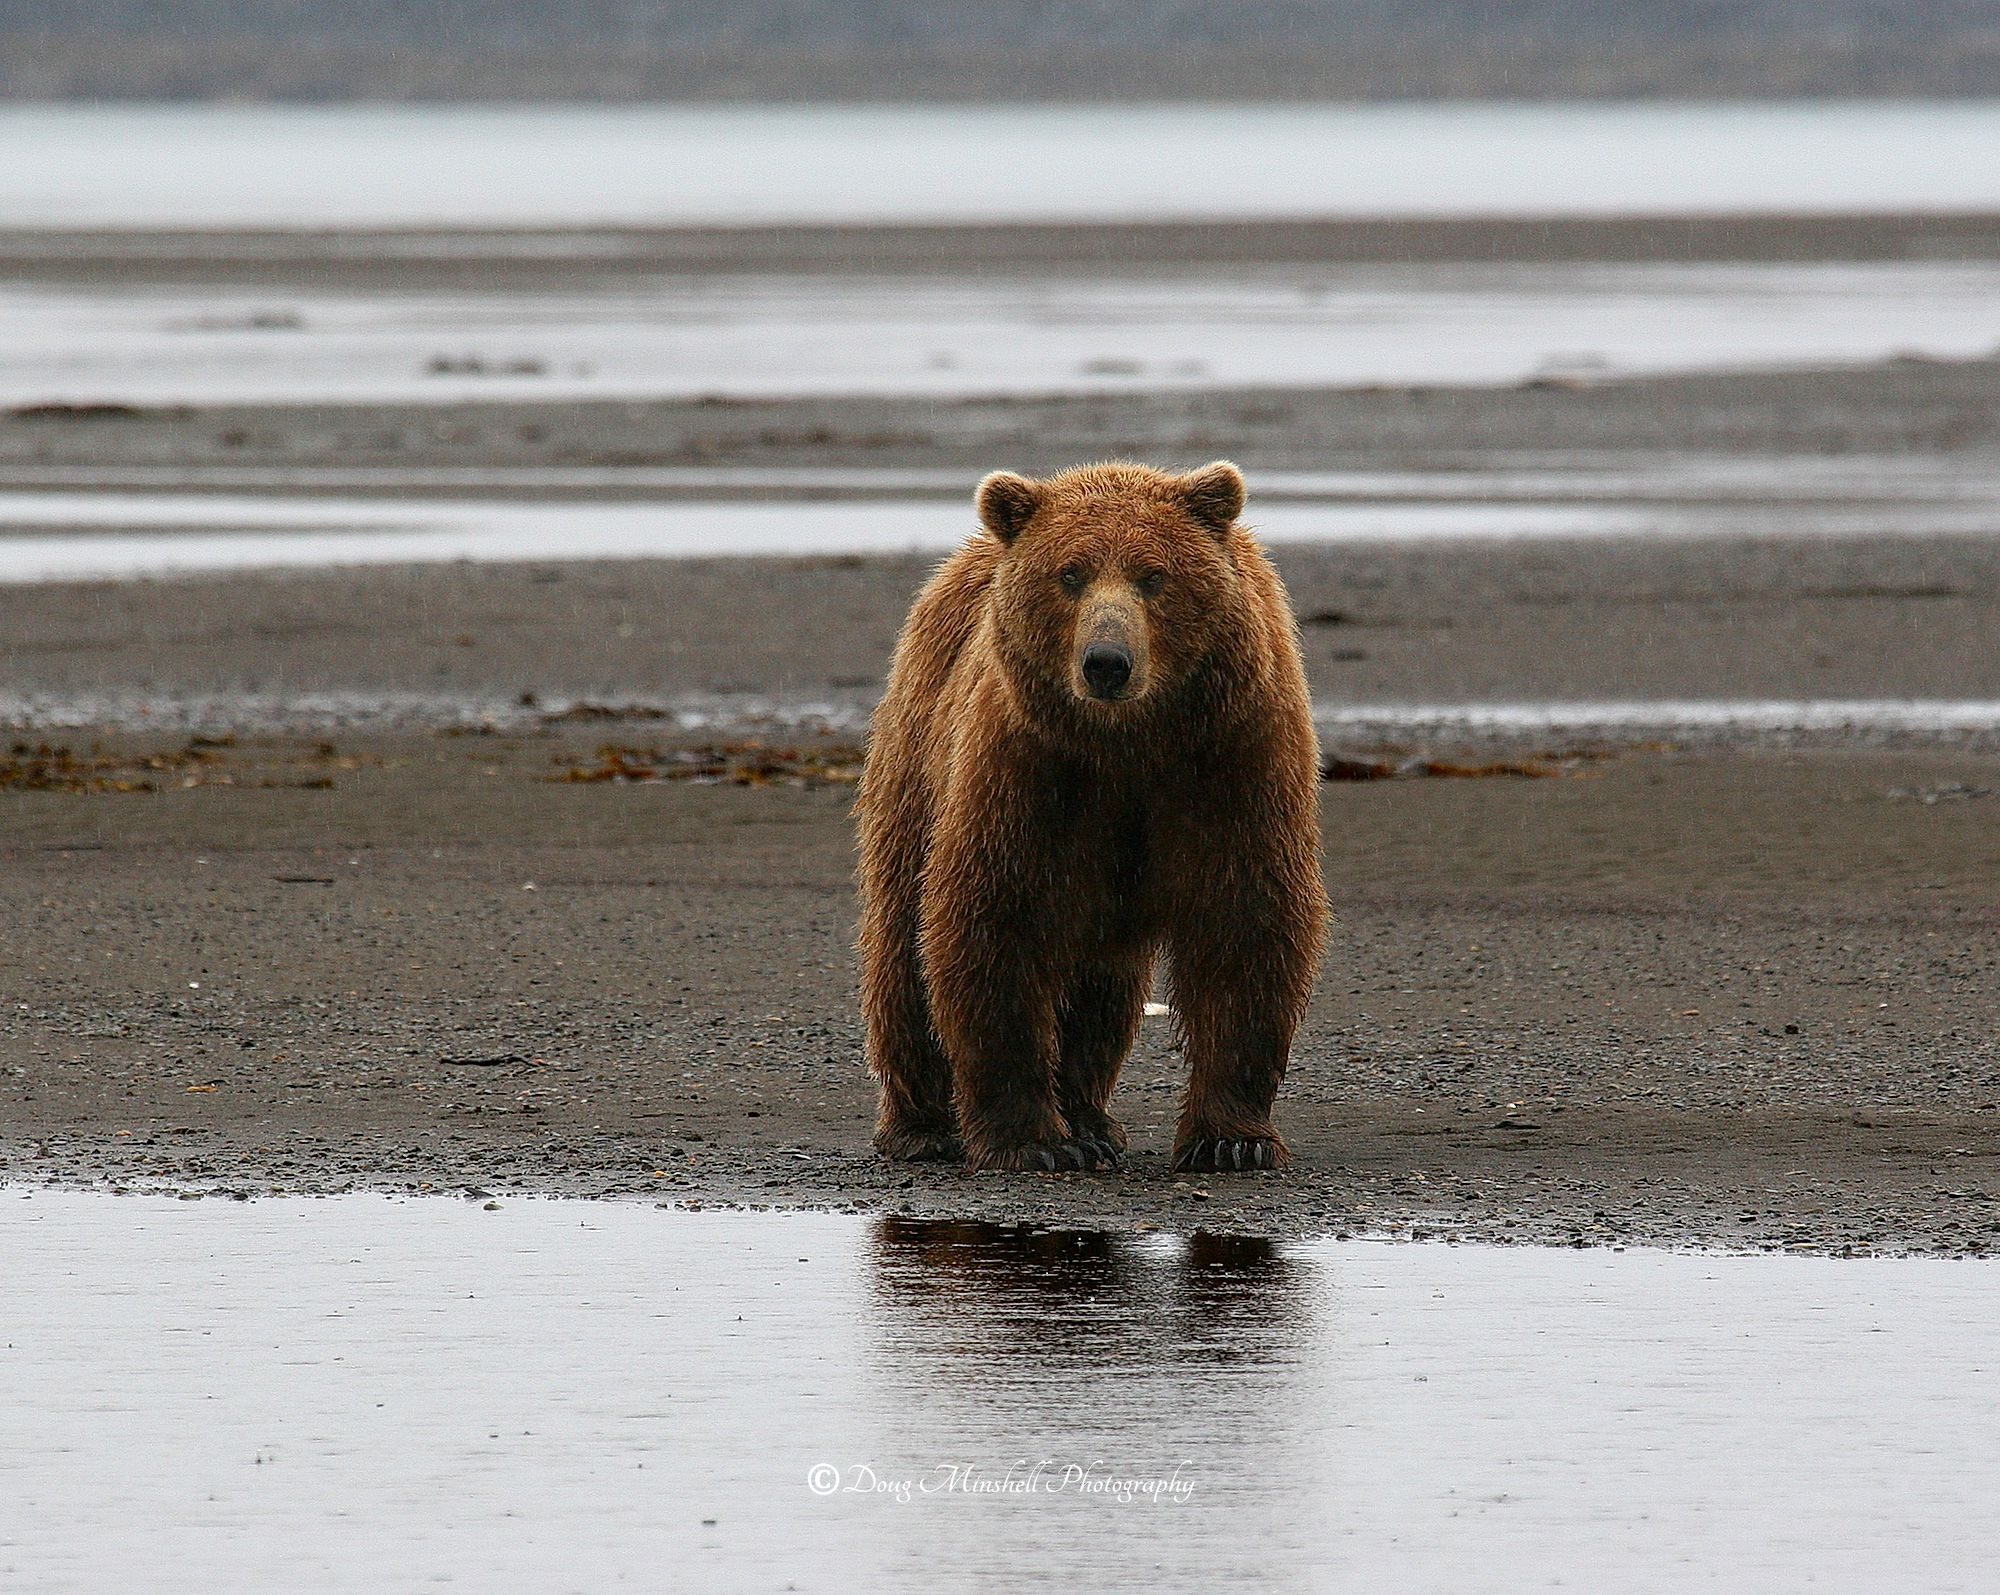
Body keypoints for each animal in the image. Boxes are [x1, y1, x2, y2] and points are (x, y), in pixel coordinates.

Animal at [855, 460, 1327, 1174]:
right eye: (1070, 573)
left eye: (1153, 575)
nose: (1106, 663)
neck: (1129, 742)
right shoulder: (1032, 772)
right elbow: (994, 922)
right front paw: (1033, 1141)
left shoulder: (1231, 761)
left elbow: (1244, 920)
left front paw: (1231, 1139)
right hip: (918, 759)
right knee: (903, 949)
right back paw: (922, 1126)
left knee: (1102, 986)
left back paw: (1091, 1118)